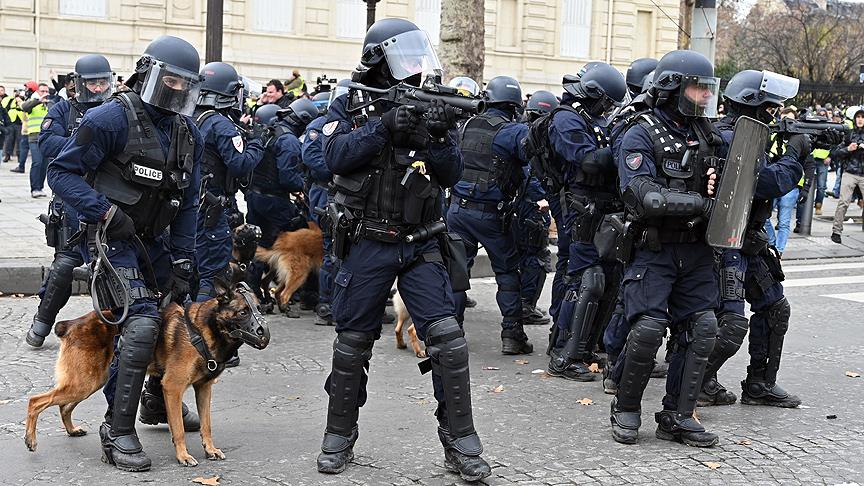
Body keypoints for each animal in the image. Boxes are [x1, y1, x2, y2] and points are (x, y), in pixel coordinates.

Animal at [25, 280, 270, 468]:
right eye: (243, 312)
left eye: (259, 308)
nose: (264, 334)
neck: (203, 330)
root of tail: (71, 324)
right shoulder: (172, 388)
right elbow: (178, 429)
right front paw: (183, 456)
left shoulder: (204, 389)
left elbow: (206, 424)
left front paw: (210, 449)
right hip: (84, 383)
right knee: (36, 401)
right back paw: (31, 440)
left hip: (90, 382)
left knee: (63, 406)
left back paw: (72, 430)